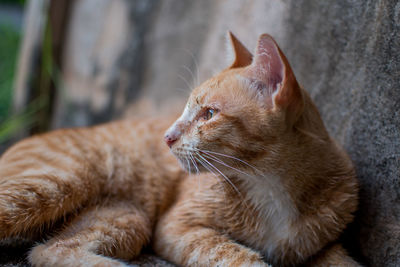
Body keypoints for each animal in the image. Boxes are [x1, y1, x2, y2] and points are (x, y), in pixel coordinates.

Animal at [0, 32, 360, 266]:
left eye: (209, 114)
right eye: (186, 109)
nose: (167, 137)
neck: (271, 185)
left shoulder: (326, 245)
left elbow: (343, 261)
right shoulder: (177, 227)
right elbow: (235, 256)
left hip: (126, 218)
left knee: (49, 250)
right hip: (57, 183)